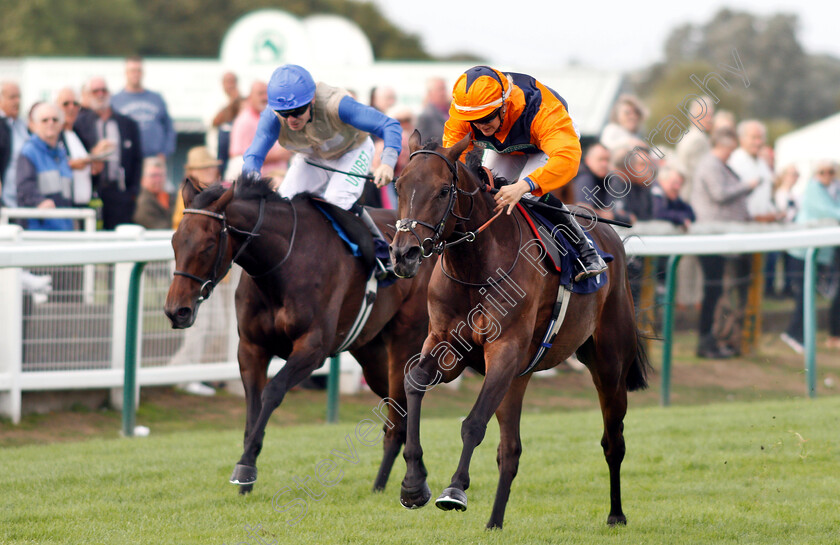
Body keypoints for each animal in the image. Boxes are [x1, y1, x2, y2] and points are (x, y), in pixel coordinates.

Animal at [167, 176, 436, 496]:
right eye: (174, 241)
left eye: (208, 245)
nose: (176, 311)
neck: (282, 265)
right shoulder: (251, 348)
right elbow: (253, 408)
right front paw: (246, 481)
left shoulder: (312, 349)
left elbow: (272, 392)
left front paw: (244, 468)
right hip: (371, 352)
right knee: (397, 414)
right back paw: (388, 483)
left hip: (405, 340)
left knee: (401, 408)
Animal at [390, 134, 652, 528]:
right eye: (398, 185)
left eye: (442, 191)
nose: (403, 254)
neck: (476, 267)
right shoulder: (446, 344)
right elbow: (414, 383)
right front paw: (413, 484)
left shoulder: (505, 349)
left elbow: (472, 423)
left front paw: (454, 489)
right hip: (519, 377)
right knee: (511, 451)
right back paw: (494, 523)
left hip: (609, 365)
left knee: (613, 440)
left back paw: (616, 514)